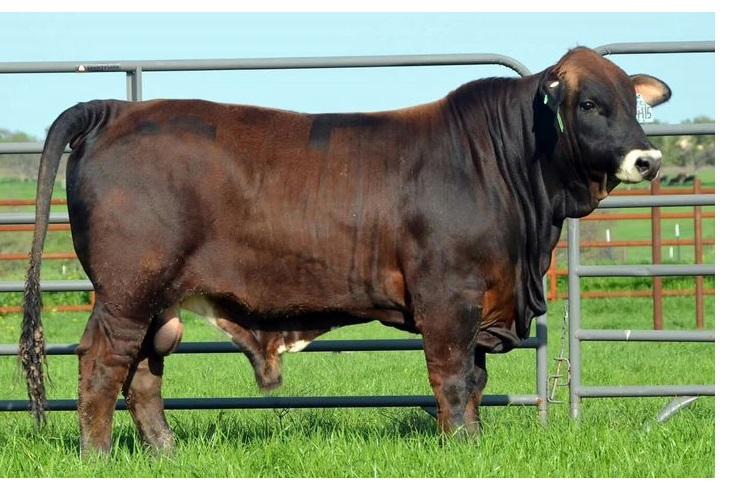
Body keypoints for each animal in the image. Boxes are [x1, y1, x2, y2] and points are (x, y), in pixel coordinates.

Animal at [19, 47, 670, 457]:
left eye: (634, 105)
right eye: (589, 104)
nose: (648, 159)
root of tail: (118, 109)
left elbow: (477, 380)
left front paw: (476, 442)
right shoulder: (448, 297)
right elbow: (454, 378)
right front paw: (461, 446)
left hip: (158, 301)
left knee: (144, 375)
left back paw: (166, 454)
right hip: (126, 292)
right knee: (102, 364)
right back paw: (97, 456)